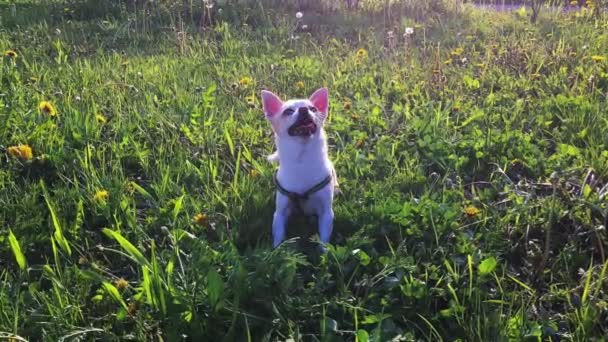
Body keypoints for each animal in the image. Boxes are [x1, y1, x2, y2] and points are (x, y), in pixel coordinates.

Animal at [260, 88, 340, 248]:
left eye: (313, 109)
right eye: (288, 111)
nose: (304, 110)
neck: (302, 160)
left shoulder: (326, 213)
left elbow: (324, 239)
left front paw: (324, 253)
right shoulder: (280, 213)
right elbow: (279, 235)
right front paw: (277, 250)